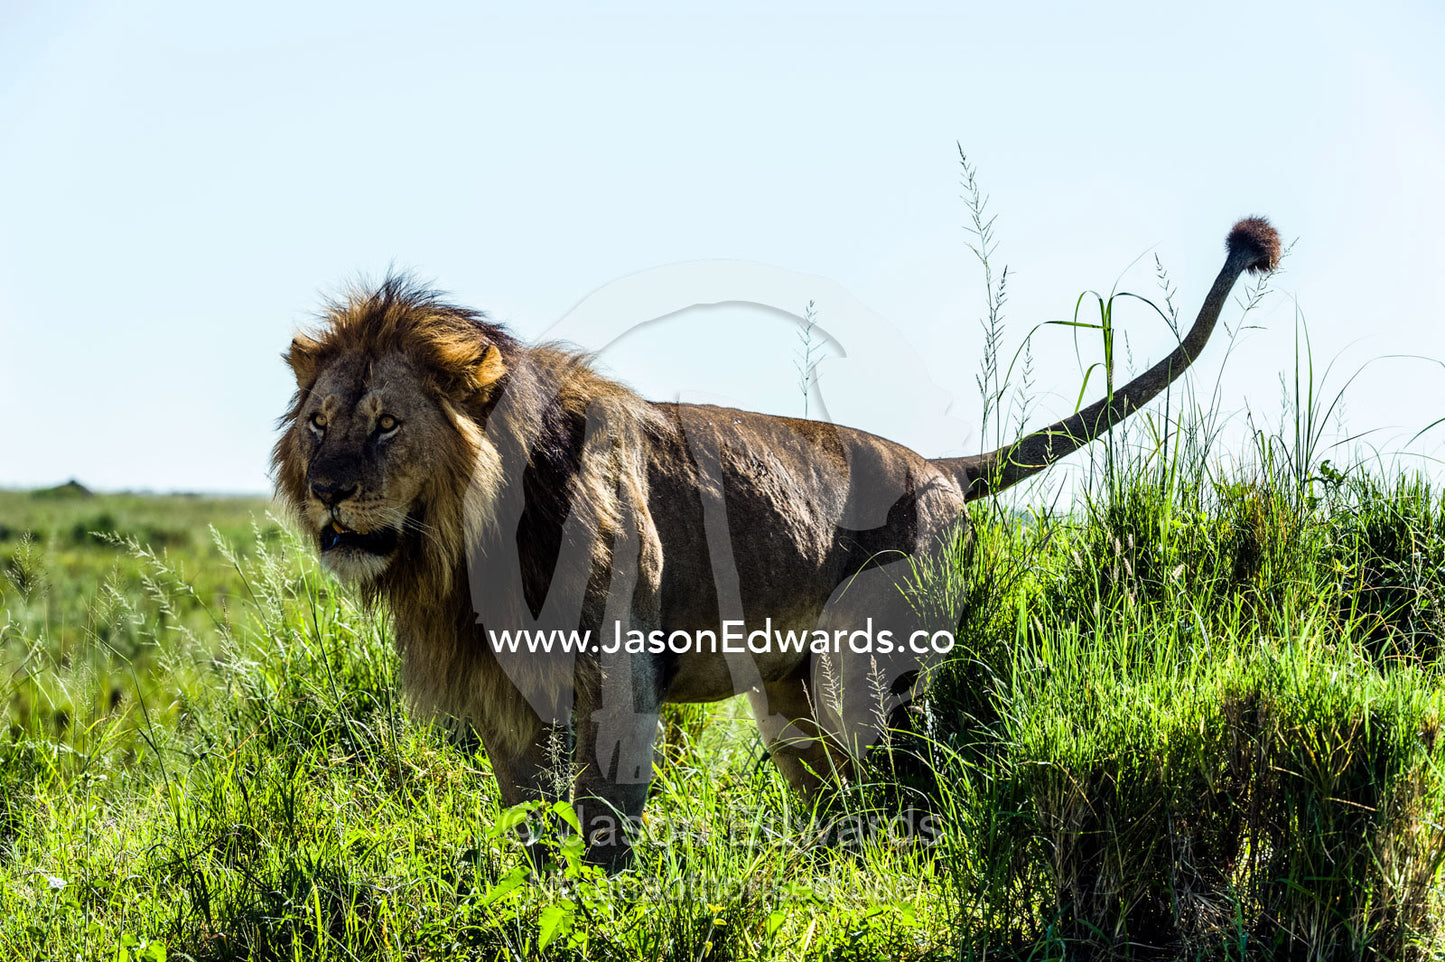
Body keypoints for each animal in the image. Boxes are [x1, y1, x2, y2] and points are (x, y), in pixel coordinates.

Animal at [273, 218, 1279, 868]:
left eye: (388, 423)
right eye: (319, 423)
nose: (328, 490)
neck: (460, 546)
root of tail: (940, 468)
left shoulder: (617, 681)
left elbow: (601, 833)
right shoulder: (504, 699)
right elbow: (530, 835)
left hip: (868, 670)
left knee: (909, 790)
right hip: (789, 695)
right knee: (838, 807)